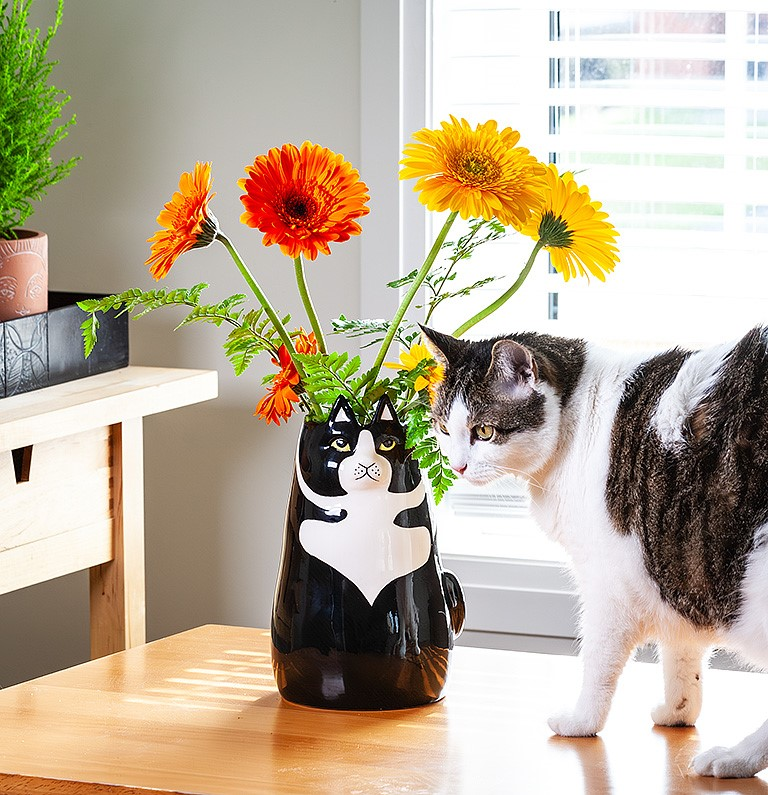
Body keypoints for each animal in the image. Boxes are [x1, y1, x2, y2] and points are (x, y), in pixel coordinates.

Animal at [424, 324, 768, 776]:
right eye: (445, 429)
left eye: (484, 431)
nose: (458, 466)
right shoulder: (672, 568)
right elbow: (682, 657)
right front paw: (678, 712)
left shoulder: (609, 587)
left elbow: (597, 662)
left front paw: (582, 721)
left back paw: (734, 758)